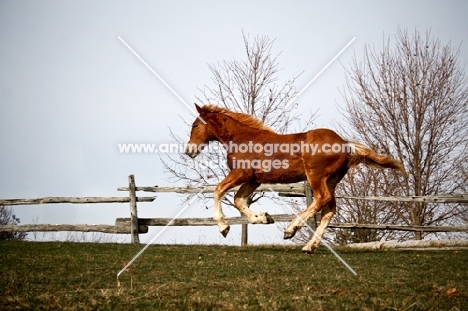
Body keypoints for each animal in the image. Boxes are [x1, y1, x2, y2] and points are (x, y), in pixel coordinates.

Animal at [185, 105, 404, 254]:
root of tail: (344, 143)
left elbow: (219, 191)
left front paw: (224, 227)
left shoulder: (241, 174)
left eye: (195, 125)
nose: (189, 151)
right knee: (330, 209)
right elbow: (238, 200)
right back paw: (309, 246)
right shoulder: (254, 180)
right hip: (332, 180)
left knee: (321, 199)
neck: (240, 138)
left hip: (316, 176)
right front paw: (263, 217)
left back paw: (292, 229)